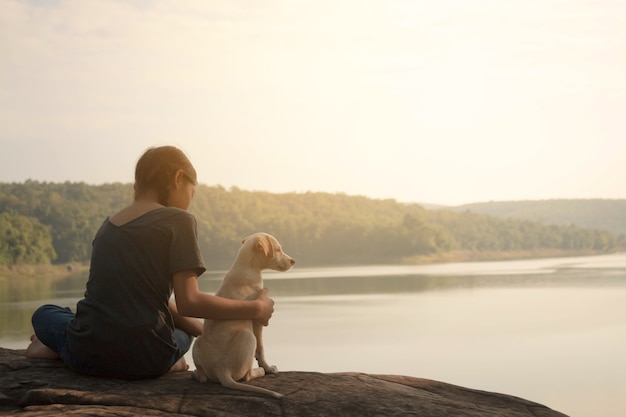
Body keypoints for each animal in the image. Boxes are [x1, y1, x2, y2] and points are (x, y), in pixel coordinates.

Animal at [191, 232, 294, 398]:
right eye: (278, 249)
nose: (293, 261)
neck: (246, 267)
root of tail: (222, 369)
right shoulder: (258, 320)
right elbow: (261, 349)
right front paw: (268, 368)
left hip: (198, 341)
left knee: (203, 378)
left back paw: (195, 373)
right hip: (248, 336)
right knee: (246, 376)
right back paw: (259, 371)